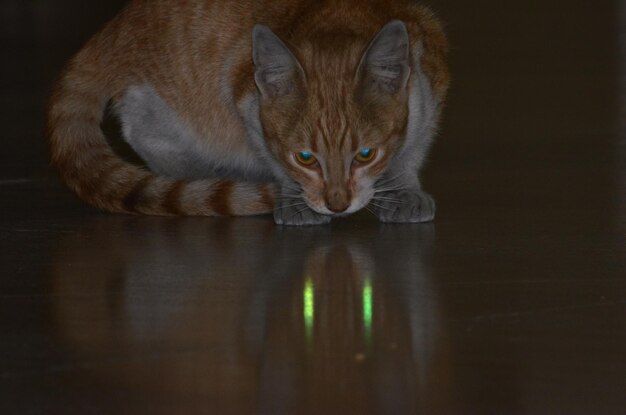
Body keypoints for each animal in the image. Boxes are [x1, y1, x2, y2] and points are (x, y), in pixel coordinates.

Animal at [48, 0, 448, 226]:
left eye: (365, 154)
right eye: (305, 158)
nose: (336, 206)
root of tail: (112, 30)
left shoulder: (429, 90)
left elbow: (411, 150)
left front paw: (403, 189)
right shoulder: (243, 97)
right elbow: (272, 158)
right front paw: (293, 197)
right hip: (158, 106)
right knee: (144, 135)